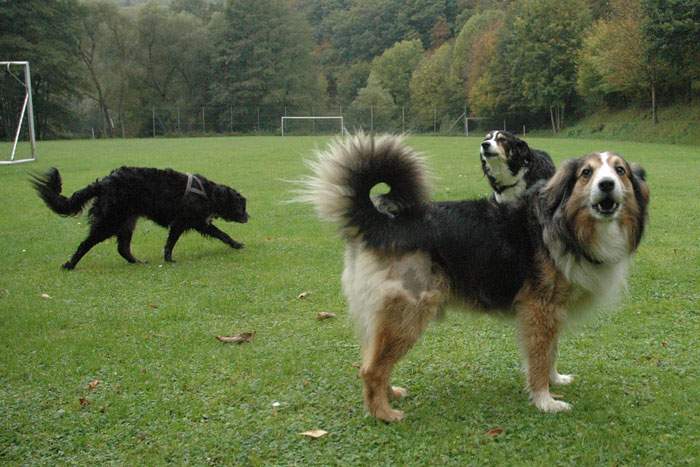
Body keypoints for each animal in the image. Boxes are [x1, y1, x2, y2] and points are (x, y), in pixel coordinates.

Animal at [31, 167, 249, 270]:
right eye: (242, 206)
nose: (248, 216)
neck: (208, 192)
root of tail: (104, 182)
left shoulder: (184, 223)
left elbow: (170, 242)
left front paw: (167, 258)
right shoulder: (190, 222)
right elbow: (220, 233)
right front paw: (236, 244)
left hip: (126, 222)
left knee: (122, 248)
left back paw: (136, 261)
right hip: (110, 221)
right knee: (86, 243)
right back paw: (70, 264)